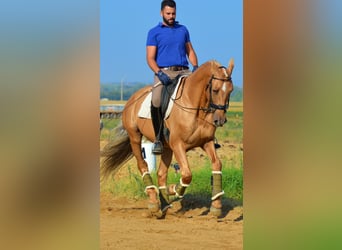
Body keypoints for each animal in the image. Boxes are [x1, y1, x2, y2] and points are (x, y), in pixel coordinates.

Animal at [101, 58, 234, 217]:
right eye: (215, 90)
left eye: (231, 90)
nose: (220, 120)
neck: (194, 107)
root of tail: (133, 98)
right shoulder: (178, 145)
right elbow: (187, 174)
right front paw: (174, 190)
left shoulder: (206, 142)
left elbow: (217, 165)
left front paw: (216, 206)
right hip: (135, 137)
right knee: (143, 166)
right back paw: (154, 202)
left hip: (166, 147)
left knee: (161, 173)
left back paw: (164, 202)